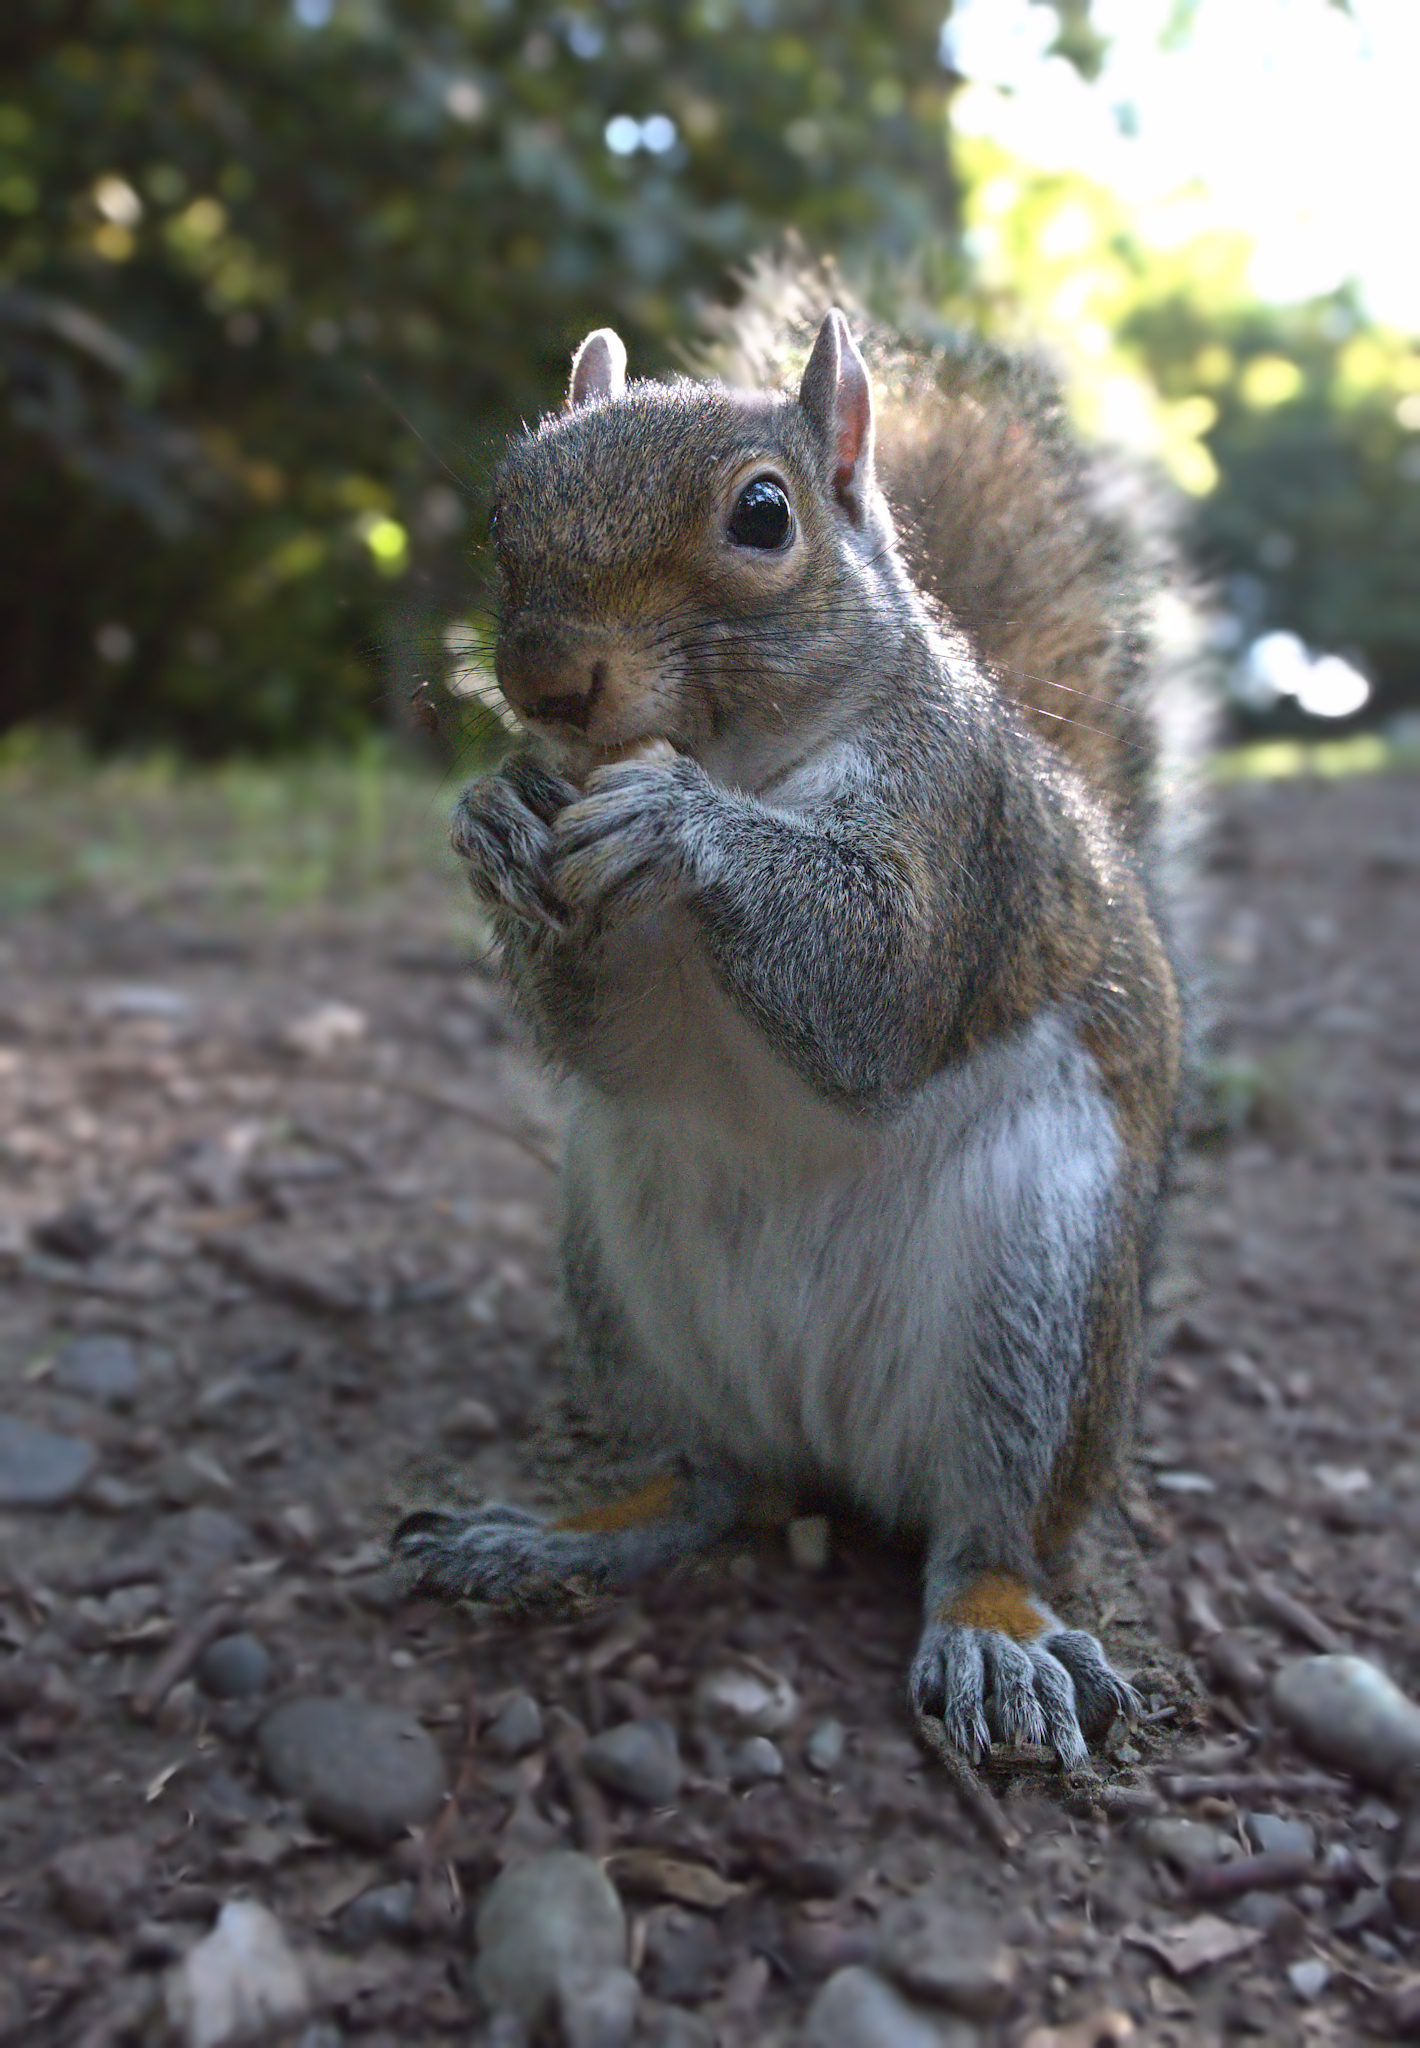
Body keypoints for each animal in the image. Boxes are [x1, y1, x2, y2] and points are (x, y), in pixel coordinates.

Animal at [393, 277, 1198, 1768]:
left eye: (763, 516)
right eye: (507, 498)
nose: (544, 681)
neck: (744, 754)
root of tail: (823, 1445)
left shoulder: (953, 826)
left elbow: (873, 990)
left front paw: (678, 819)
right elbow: (609, 1038)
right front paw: (493, 808)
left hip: (1038, 1284)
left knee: (985, 1525)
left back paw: (996, 1630)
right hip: (627, 1280)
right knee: (712, 1483)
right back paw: (558, 1533)